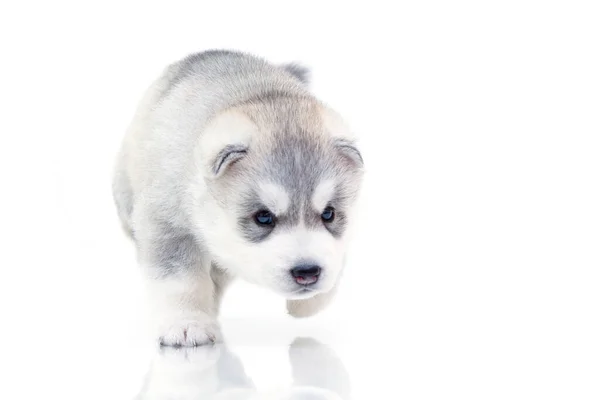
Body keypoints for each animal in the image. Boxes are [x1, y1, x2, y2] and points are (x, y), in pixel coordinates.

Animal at [114, 50, 364, 346]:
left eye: (329, 214)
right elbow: (180, 280)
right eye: (263, 217)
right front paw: (186, 323)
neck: (262, 95)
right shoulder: (167, 225)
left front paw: (309, 303)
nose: (307, 272)